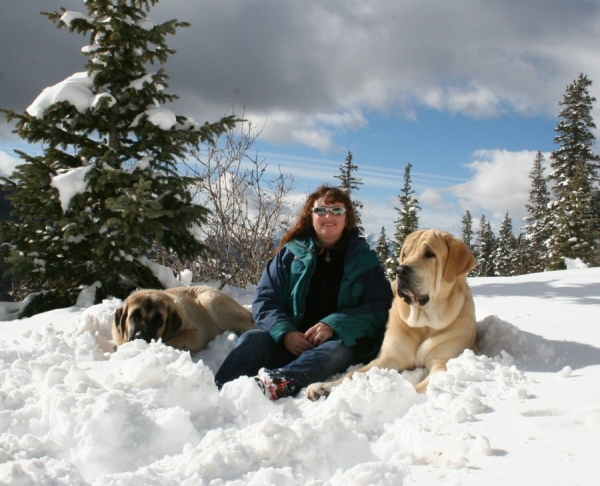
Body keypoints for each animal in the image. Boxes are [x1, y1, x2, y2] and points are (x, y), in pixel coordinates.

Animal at [113, 284, 256, 354]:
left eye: (158, 321)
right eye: (134, 317)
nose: (141, 336)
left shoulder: (196, 333)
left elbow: (179, 339)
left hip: (212, 301)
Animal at [308, 230, 476, 400]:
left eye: (430, 254)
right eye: (405, 254)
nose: (400, 270)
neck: (424, 324)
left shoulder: (442, 363)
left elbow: (418, 389)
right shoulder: (390, 357)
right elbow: (354, 373)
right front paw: (324, 386)